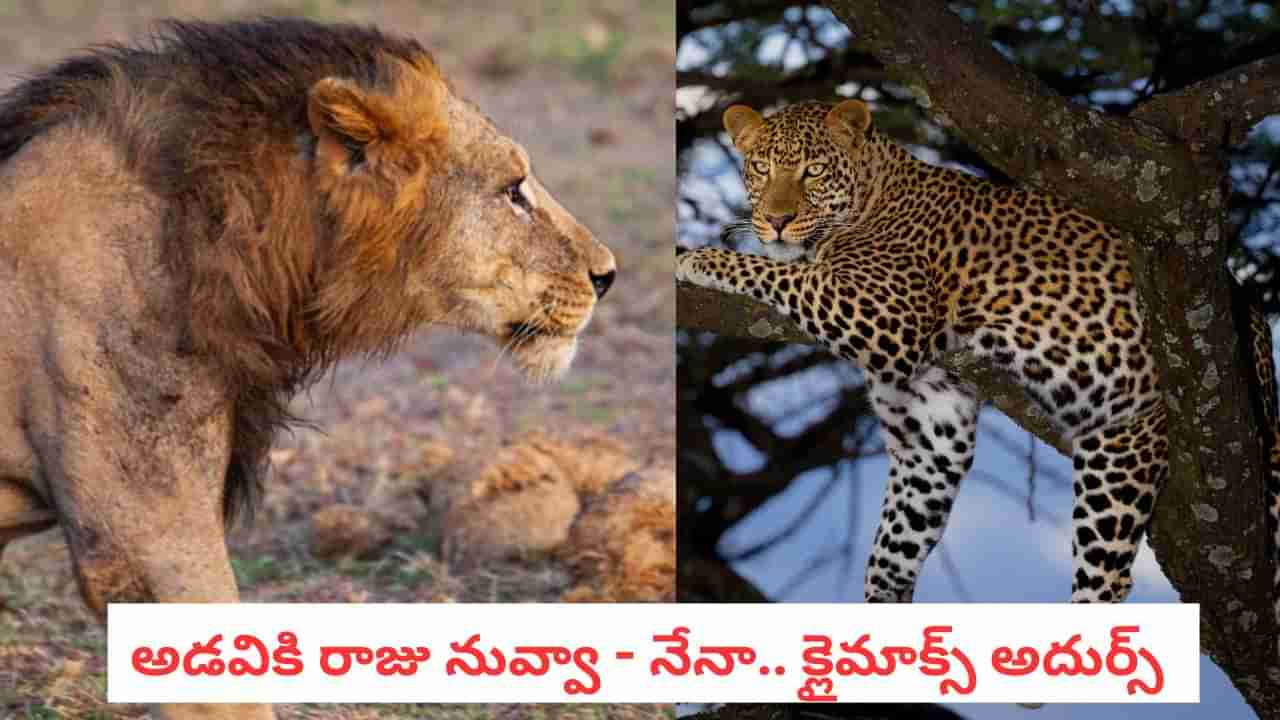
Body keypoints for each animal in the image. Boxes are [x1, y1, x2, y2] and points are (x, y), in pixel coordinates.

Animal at [676, 99, 1280, 620]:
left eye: (814, 172)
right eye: (760, 169)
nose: (775, 220)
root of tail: (1248, 318)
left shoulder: (883, 310)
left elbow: (775, 271)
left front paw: (696, 257)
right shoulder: (932, 425)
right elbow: (894, 543)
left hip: (1122, 449)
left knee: (1108, 580)